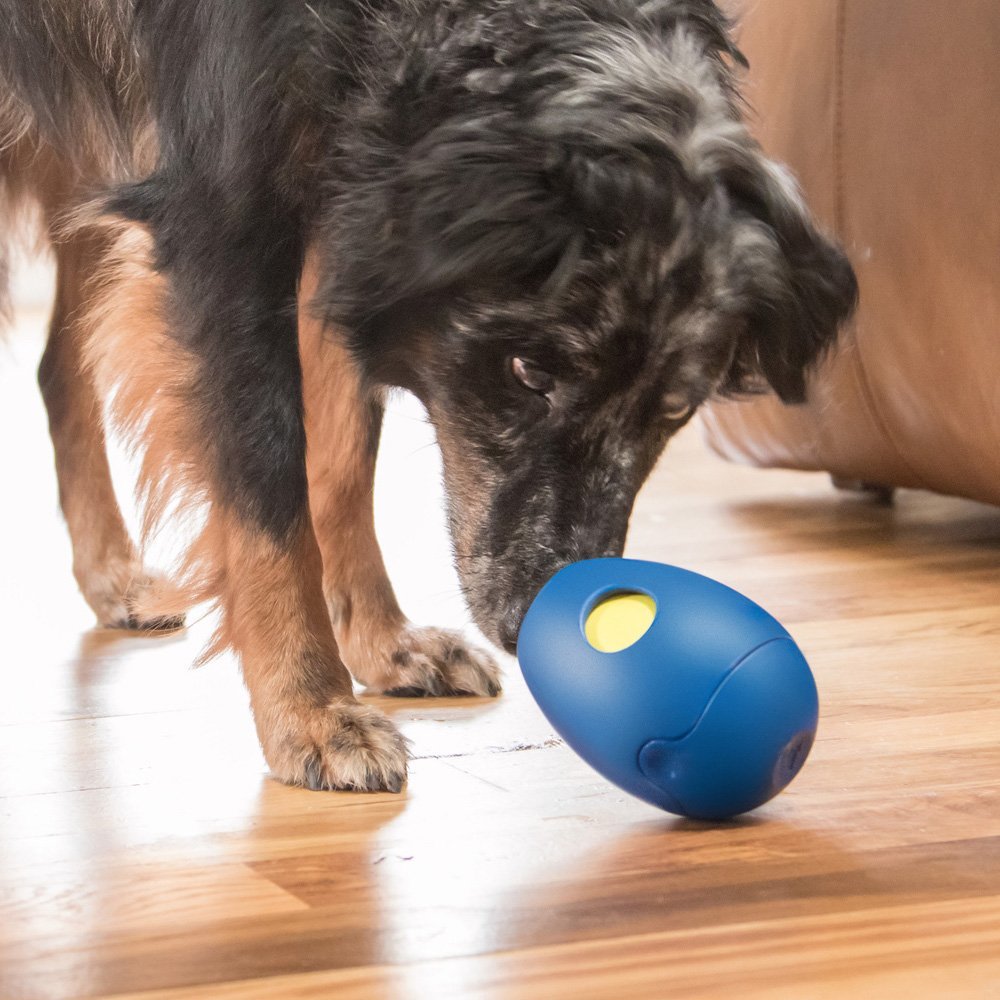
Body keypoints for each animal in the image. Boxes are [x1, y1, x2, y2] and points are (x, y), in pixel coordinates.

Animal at [1, 3, 860, 792]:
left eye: (675, 409)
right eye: (526, 371)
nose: (540, 619)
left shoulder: (347, 208)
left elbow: (342, 462)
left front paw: (382, 644)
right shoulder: (228, 220)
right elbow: (271, 492)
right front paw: (309, 709)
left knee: (57, 367)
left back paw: (112, 576)